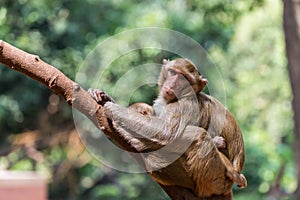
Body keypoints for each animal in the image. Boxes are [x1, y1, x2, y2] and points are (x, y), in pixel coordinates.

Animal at [88, 58, 246, 198]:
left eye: (185, 78)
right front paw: (102, 96)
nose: (173, 84)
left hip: (213, 180)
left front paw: (111, 109)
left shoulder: (185, 105)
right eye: (172, 72)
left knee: (198, 136)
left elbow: (167, 133)